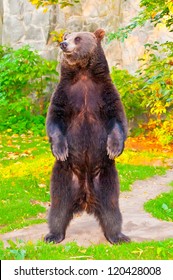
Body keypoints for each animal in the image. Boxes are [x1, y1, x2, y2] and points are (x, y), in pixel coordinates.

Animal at [44, 27, 130, 244]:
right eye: (66, 37)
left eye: (78, 38)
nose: (63, 44)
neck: (83, 73)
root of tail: (85, 200)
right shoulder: (65, 93)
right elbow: (54, 119)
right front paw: (60, 149)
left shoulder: (104, 93)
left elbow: (118, 119)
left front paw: (114, 148)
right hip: (64, 176)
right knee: (58, 207)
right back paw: (53, 235)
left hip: (105, 177)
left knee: (111, 208)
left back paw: (118, 236)